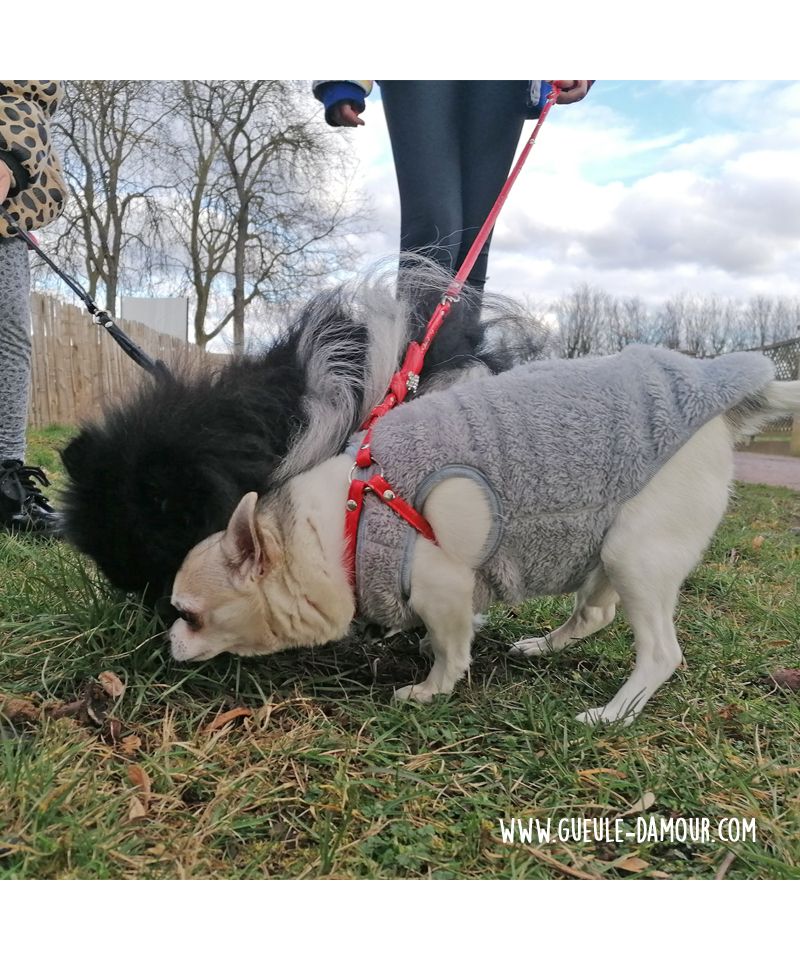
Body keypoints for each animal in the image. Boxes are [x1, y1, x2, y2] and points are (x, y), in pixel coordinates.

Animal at [167, 348, 792, 724]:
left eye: (189, 614)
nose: (168, 641)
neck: (344, 523)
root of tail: (721, 404)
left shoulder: (441, 584)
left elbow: (451, 649)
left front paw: (428, 690)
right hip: (607, 546)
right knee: (596, 613)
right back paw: (543, 646)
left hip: (634, 553)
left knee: (661, 653)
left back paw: (613, 714)